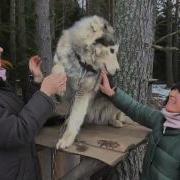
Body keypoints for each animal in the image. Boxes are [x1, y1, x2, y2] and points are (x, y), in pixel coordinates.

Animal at [51, 15, 123, 148]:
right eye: (112, 50)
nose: (118, 70)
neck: (82, 62)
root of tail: (96, 117)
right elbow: (57, 68)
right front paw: (60, 85)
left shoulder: (83, 92)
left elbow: (75, 118)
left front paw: (66, 139)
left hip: (115, 101)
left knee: (113, 116)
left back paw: (115, 122)